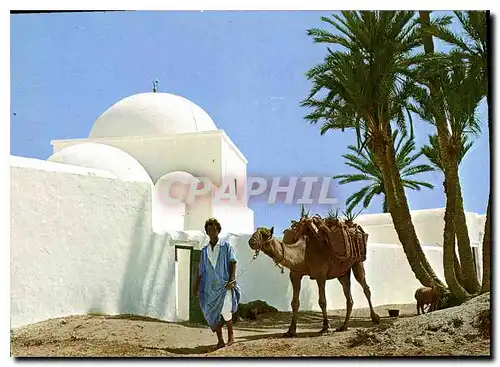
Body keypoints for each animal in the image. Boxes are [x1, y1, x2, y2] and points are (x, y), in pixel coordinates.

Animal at [248, 226, 380, 338]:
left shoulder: (320, 274)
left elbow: (322, 301)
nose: (251, 242)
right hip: (342, 273)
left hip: (357, 262)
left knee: (365, 287)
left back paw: (375, 318)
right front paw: (290, 331)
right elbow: (294, 303)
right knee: (349, 297)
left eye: (265, 234)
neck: (302, 253)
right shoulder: (295, 275)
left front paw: (325, 328)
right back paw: (343, 326)